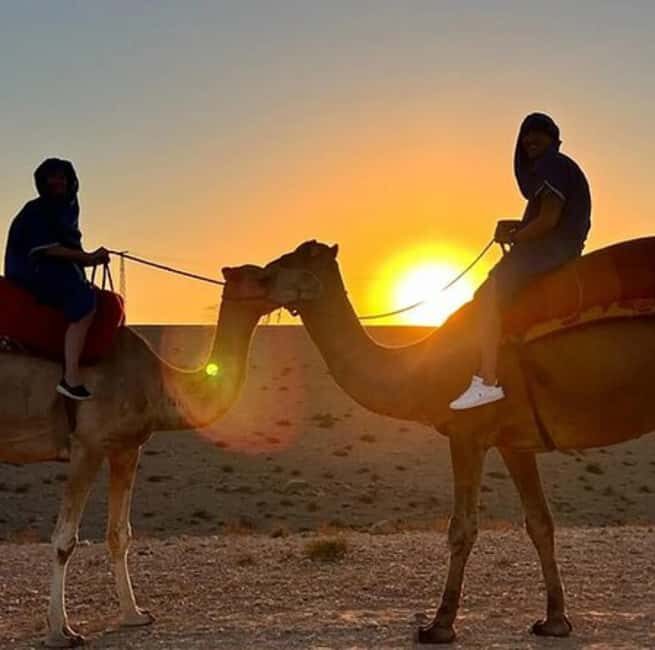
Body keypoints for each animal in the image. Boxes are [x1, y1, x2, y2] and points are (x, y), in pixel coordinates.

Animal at [0, 263, 320, 648]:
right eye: (262, 276)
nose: (301, 288)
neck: (155, 383)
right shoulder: (87, 445)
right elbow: (65, 539)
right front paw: (59, 631)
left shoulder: (126, 447)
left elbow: (119, 534)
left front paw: (134, 615)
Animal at [262, 239, 655, 644]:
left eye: (297, 260)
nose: (258, 277)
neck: (423, 369)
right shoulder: (513, 442)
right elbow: (539, 522)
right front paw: (555, 621)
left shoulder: (467, 433)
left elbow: (462, 528)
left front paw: (440, 625)